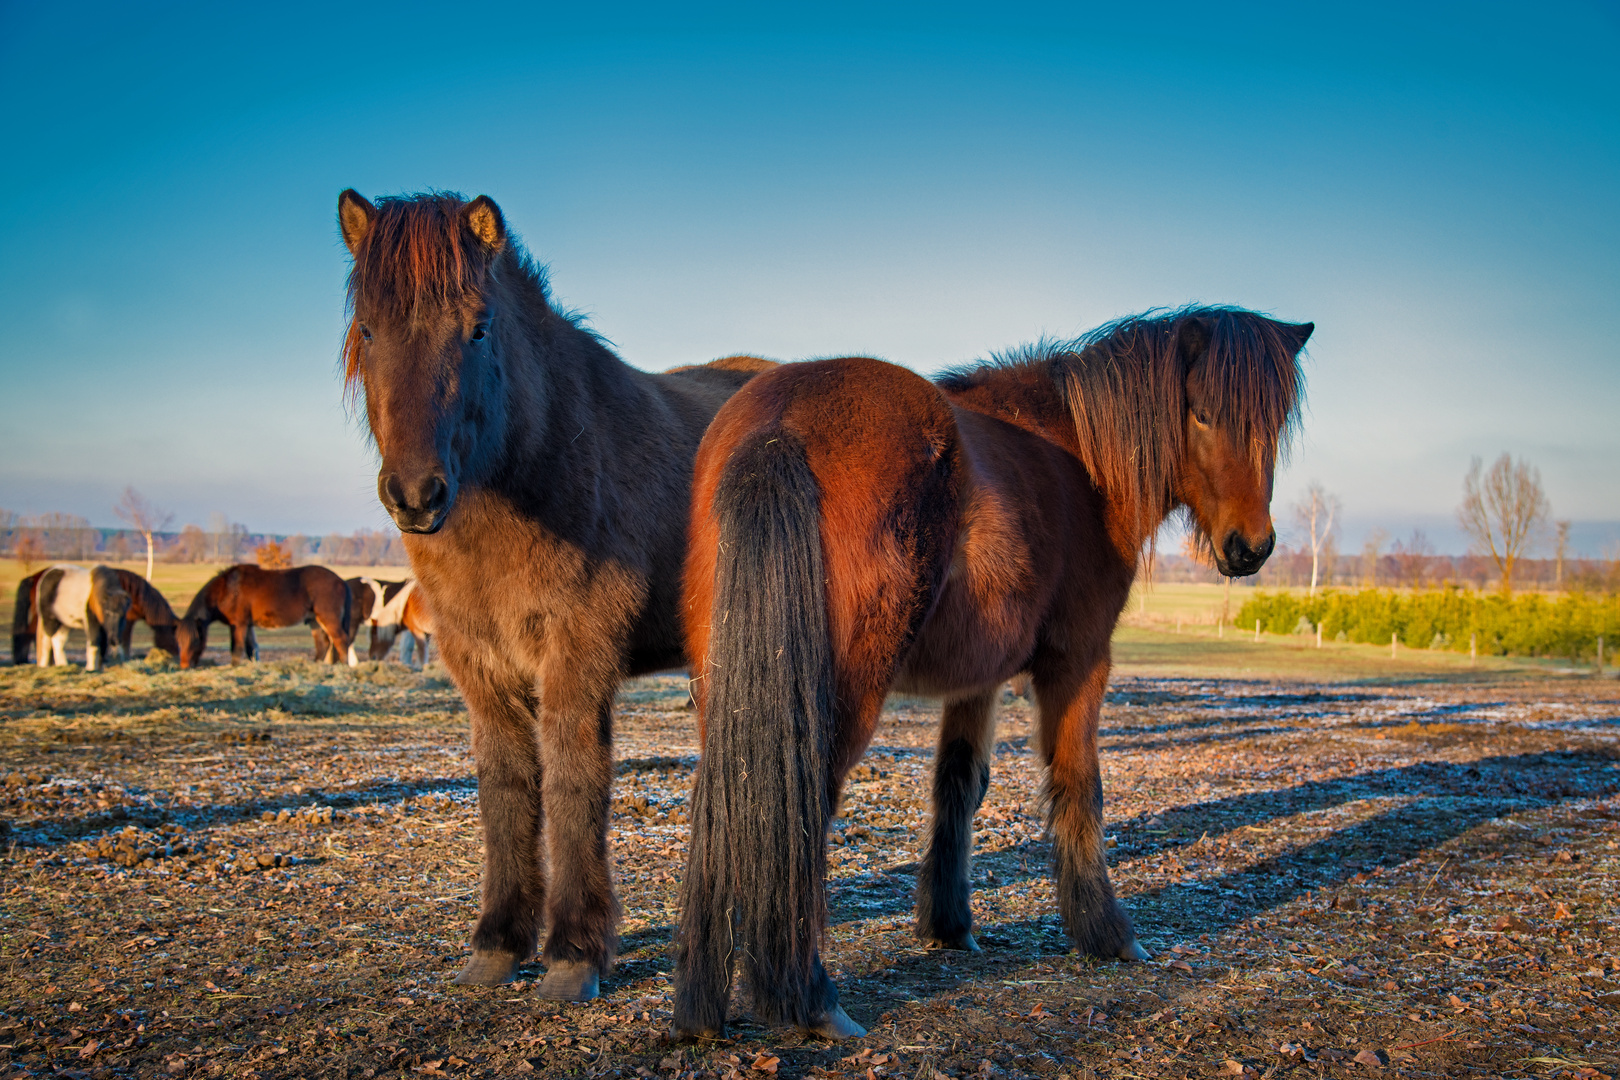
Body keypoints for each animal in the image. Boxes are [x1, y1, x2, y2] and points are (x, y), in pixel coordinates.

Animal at [177, 566, 354, 667]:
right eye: (178, 641)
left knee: (341, 640)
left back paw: (344, 667)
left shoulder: (239, 624)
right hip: (314, 620)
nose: (185, 666)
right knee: (323, 644)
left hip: (328, 618)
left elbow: (236, 648)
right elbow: (251, 649)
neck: (227, 589)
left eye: (196, 641)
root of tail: (340, 581)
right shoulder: (248, 625)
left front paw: (234, 667)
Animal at [335, 190, 771, 1003]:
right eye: (369, 329)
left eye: (477, 328)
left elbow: (573, 782)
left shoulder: (576, 655)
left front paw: (573, 952)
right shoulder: (480, 665)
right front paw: (498, 945)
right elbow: (507, 789)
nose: (415, 494)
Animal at [673, 304, 1315, 1036]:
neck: (1081, 457)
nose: (1251, 547)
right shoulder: (1079, 661)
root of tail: (780, 422)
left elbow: (959, 785)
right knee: (800, 809)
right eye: (1203, 414)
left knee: (726, 803)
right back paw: (811, 1000)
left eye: (1274, 422)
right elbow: (1079, 786)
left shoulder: (975, 680)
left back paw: (701, 1010)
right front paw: (1107, 933)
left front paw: (950, 923)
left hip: (730, 690)